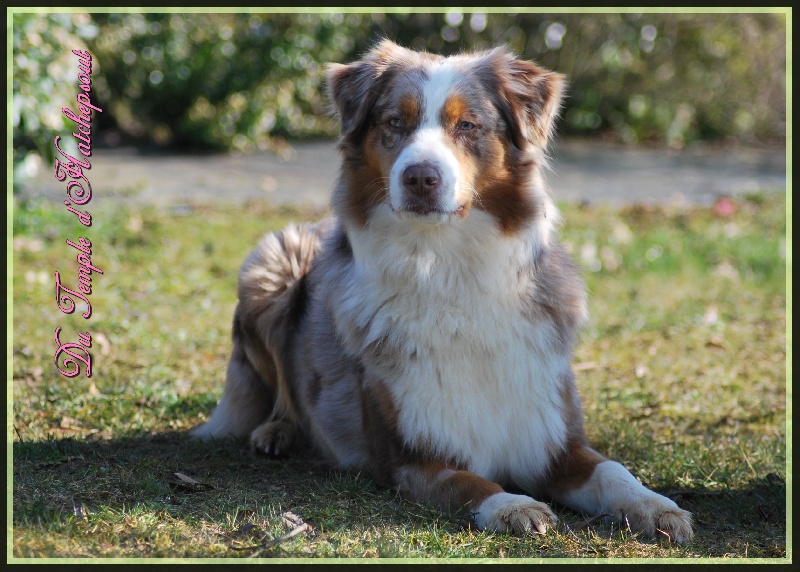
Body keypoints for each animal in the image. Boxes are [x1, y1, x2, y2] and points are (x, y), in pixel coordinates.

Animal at [194, 39, 692, 540]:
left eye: (467, 125)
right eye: (395, 122)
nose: (420, 177)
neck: (447, 267)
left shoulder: (554, 440)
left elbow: (613, 471)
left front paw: (655, 506)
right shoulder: (411, 457)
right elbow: (471, 484)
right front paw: (513, 506)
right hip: (271, 263)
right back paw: (276, 431)